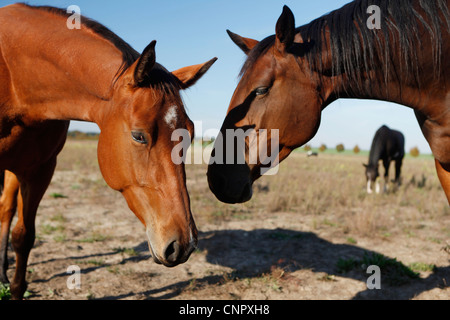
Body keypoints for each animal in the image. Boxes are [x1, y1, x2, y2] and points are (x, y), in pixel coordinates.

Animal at [0, 3, 216, 298]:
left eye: (191, 133)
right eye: (138, 136)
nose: (183, 245)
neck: (15, 80)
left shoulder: (39, 169)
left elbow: (23, 236)